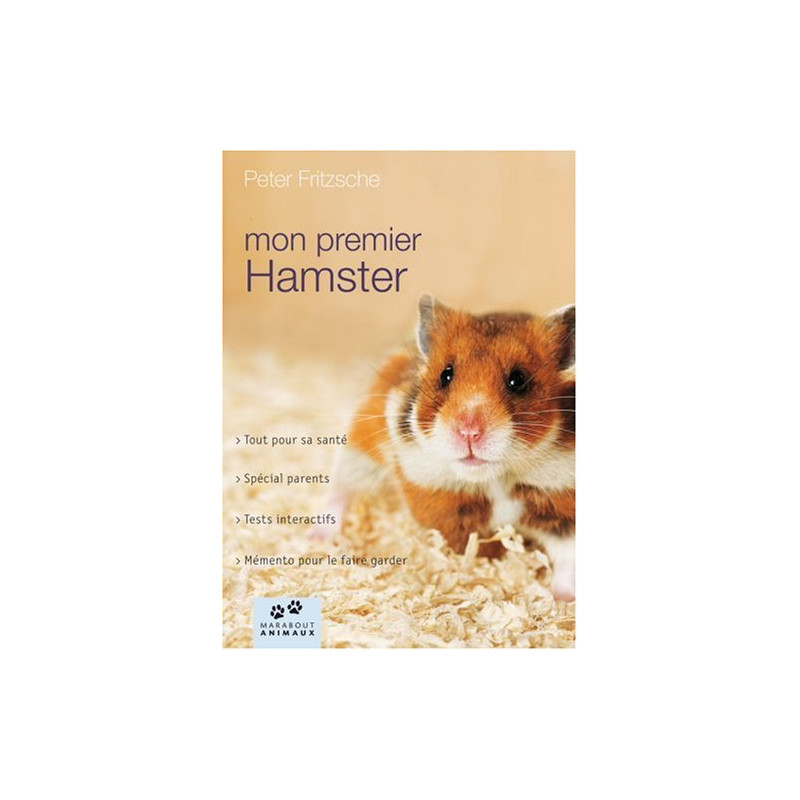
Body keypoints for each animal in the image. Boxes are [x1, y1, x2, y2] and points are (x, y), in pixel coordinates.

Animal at [318, 295, 576, 601]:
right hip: (359, 453)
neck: (494, 478)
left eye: (518, 381)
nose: (469, 432)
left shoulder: (562, 510)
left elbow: (569, 557)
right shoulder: (442, 505)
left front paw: (561, 597)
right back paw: (320, 537)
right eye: (446, 375)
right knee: (340, 491)